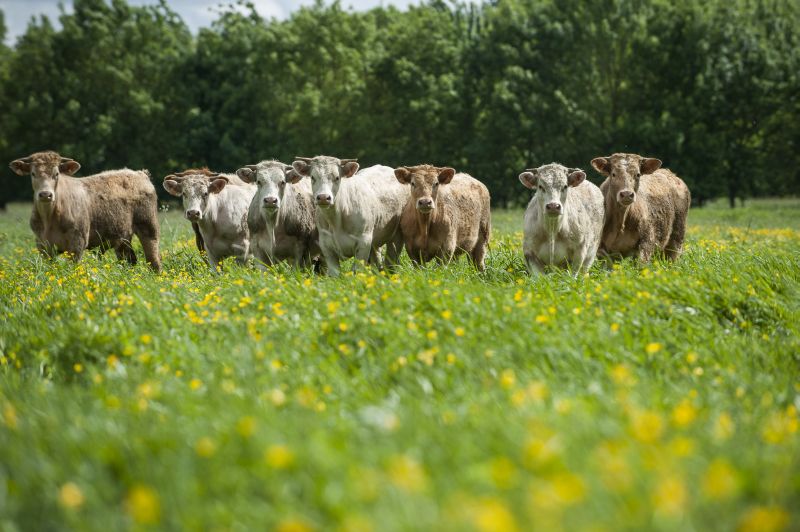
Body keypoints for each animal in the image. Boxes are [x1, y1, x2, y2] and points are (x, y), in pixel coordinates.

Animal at [9, 152, 162, 272]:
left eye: (56, 174)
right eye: (33, 174)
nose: (45, 194)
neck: (49, 218)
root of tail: (139, 173)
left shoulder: (78, 242)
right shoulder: (43, 245)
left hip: (149, 229)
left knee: (154, 260)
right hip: (122, 237)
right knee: (129, 260)